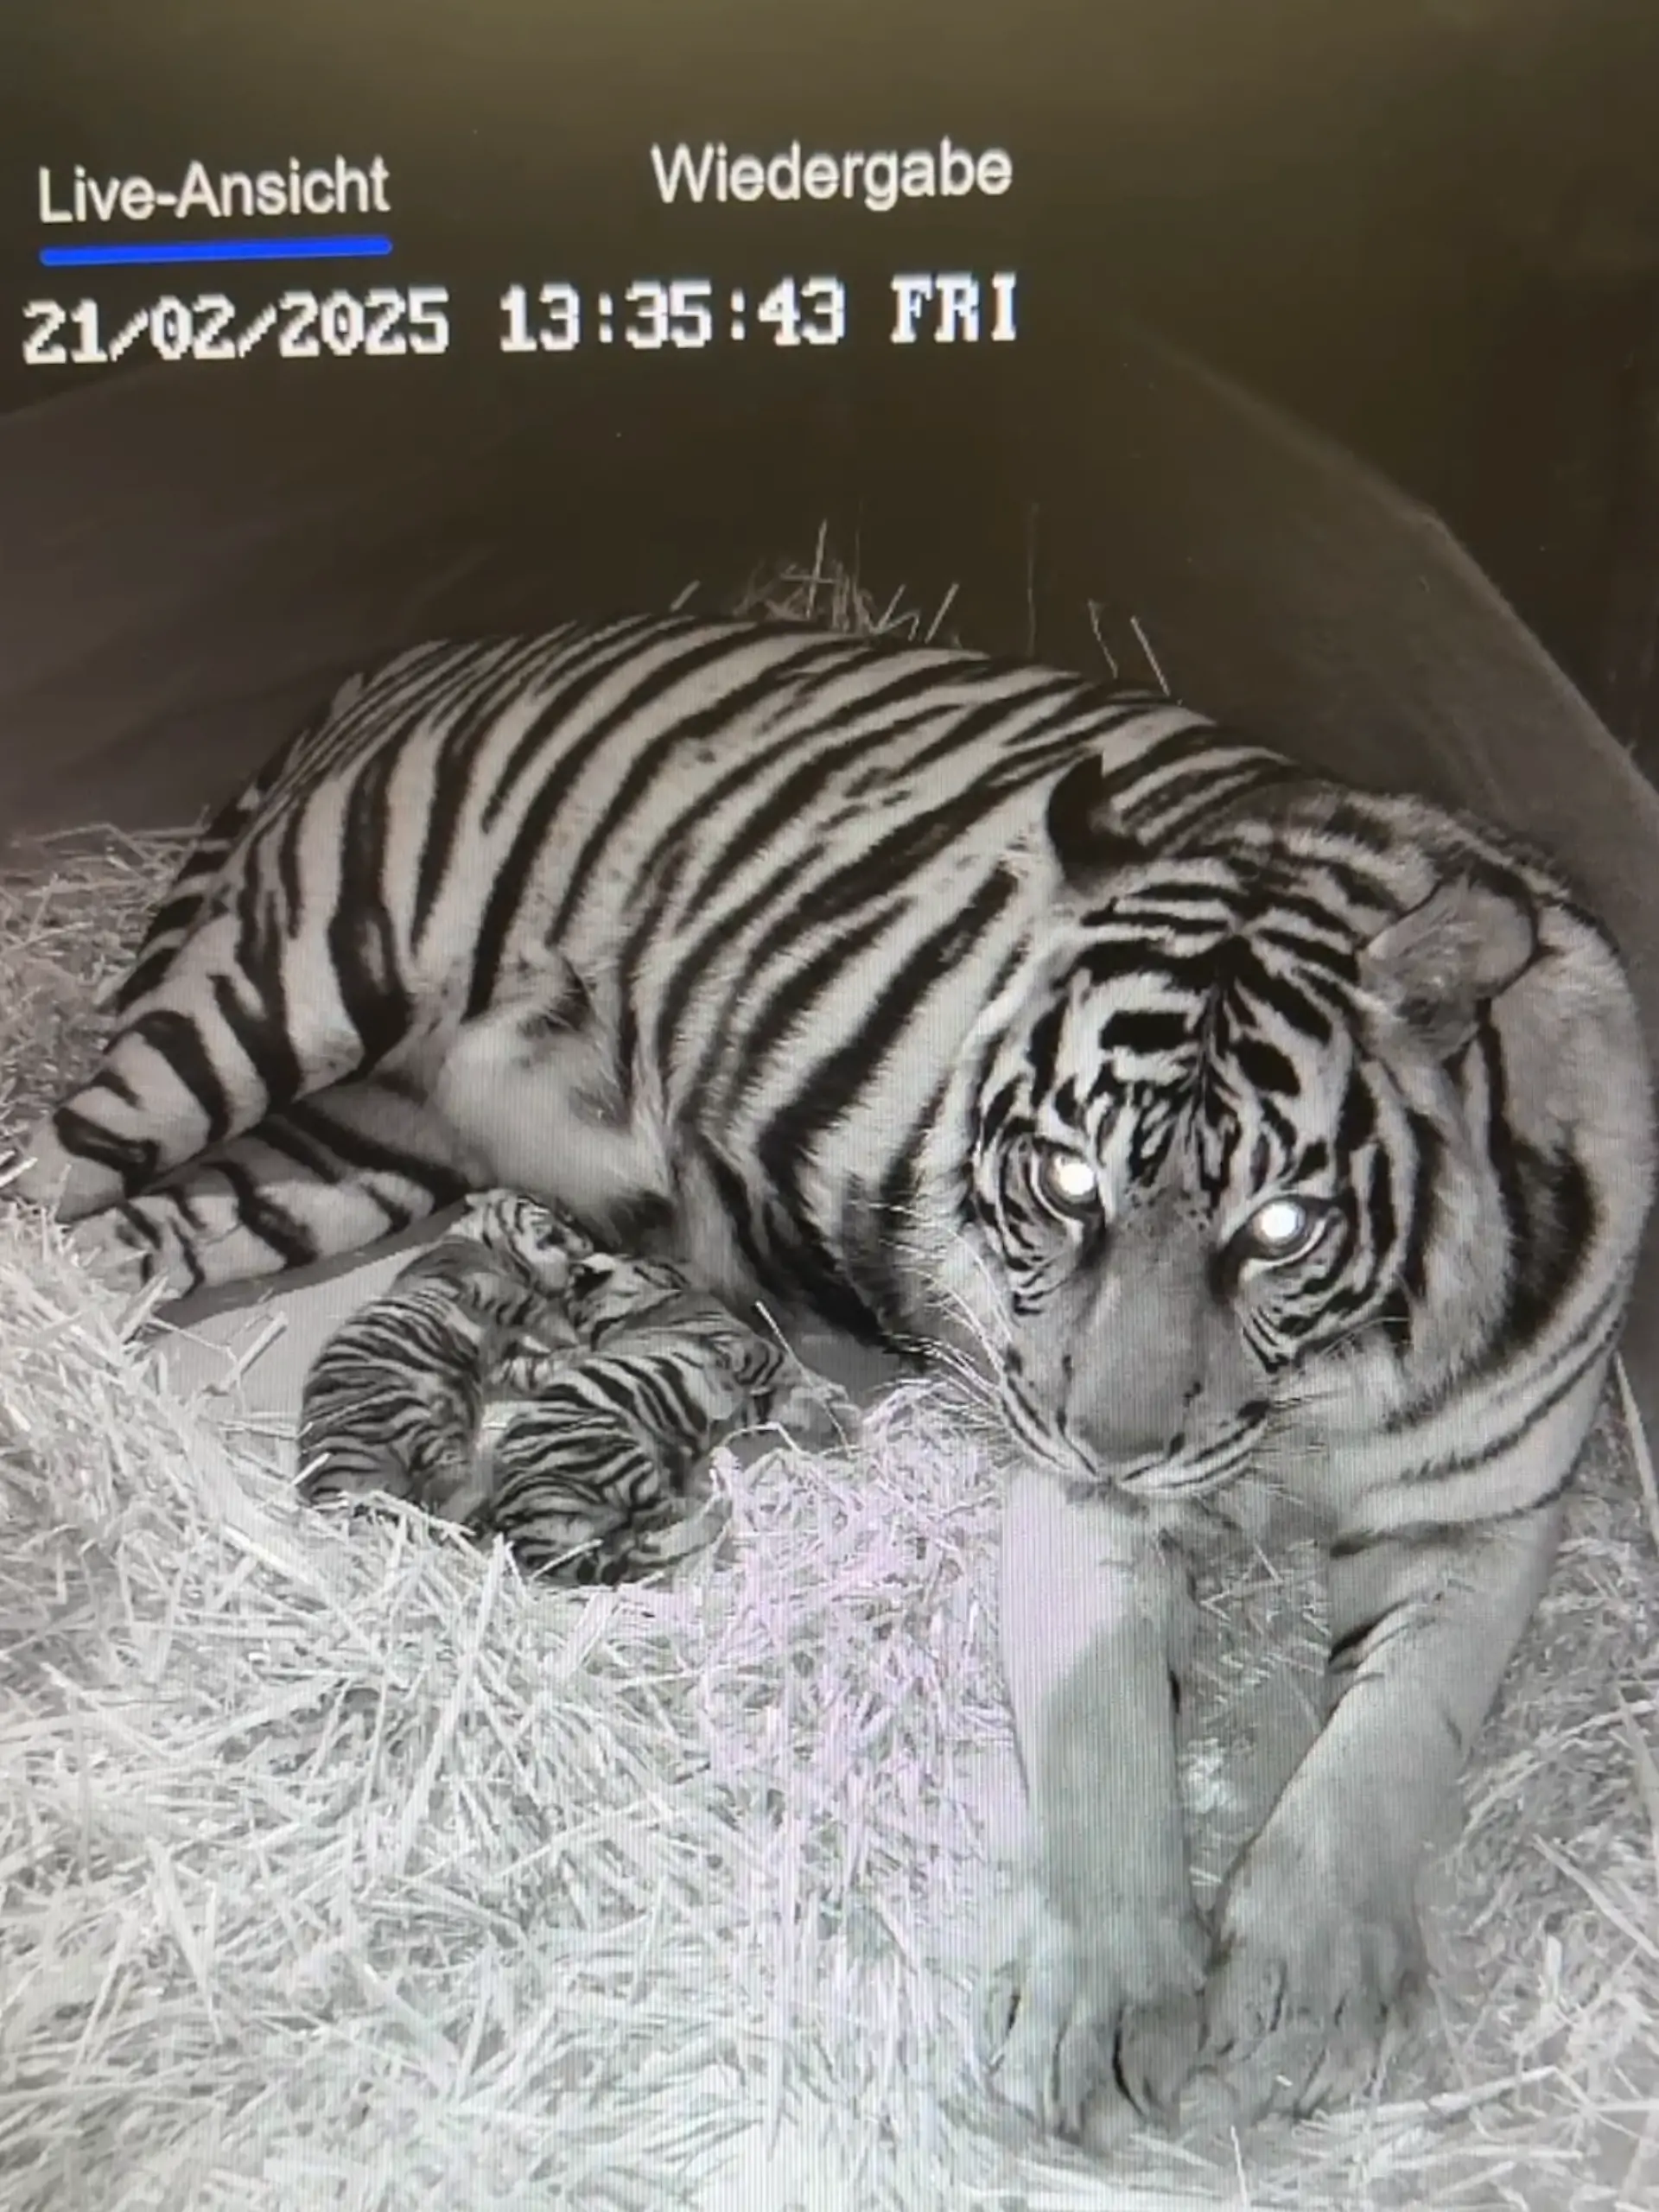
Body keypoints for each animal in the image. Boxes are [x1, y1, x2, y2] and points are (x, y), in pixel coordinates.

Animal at [15, 611, 1654, 2136]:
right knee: (47, 1171)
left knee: (124, 1241)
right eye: (1064, 1178)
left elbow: (1397, 1734)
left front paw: (1304, 1989)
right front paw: (1099, 2004)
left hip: (351, 1153)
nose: (1115, 1440)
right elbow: (1106, 1732)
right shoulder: (1073, 1492)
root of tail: (441, 649)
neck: (1311, 1398)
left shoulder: (1489, 1518)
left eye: (1280, 1228)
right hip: (283, 994)